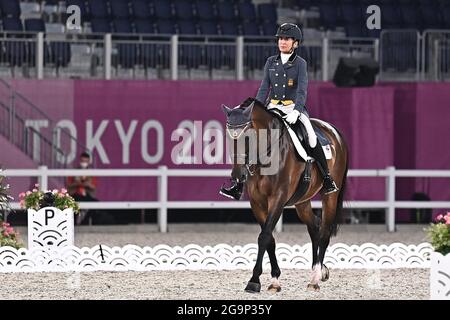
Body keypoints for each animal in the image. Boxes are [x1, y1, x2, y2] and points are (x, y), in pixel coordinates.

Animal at [221, 97, 348, 292]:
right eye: (228, 136)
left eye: (247, 136)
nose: (237, 175)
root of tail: (334, 130)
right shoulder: (257, 202)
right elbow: (270, 238)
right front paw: (274, 280)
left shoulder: (278, 199)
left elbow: (264, 236)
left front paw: (254, 280)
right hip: (303, 200)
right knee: (314, 227)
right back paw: (317, 270)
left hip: (331, 196)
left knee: (325, 231)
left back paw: (316, 278)